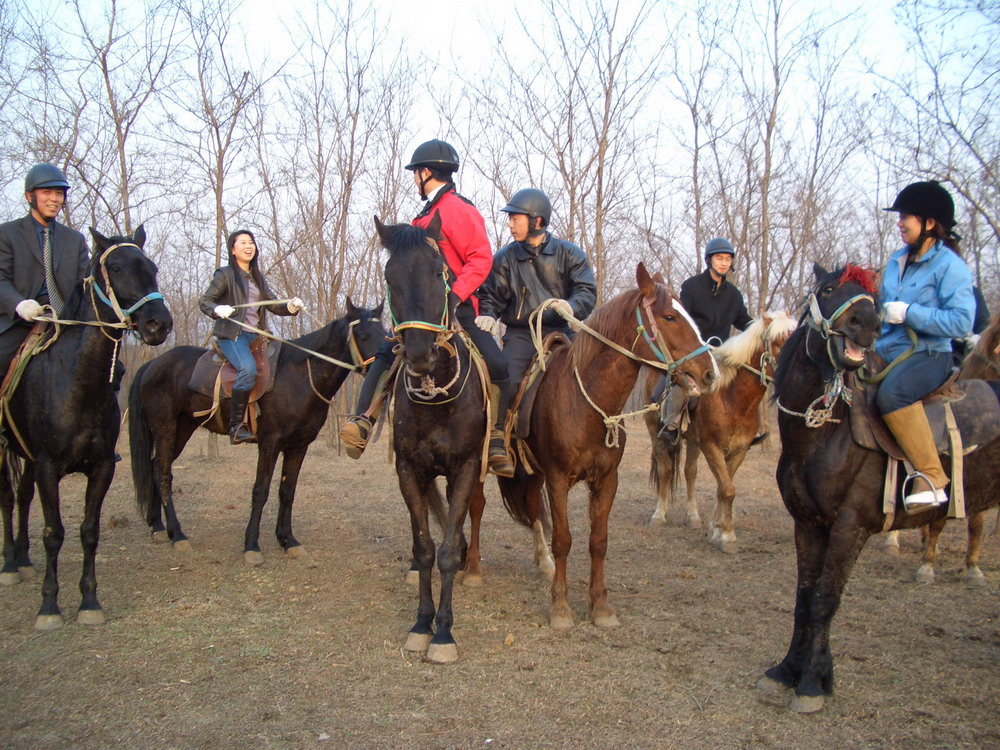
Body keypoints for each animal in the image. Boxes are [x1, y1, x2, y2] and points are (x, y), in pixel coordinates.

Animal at [0, 226, 171, 632]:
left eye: (152, 267)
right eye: (117, 267)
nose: (158, 324)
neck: (75, 383)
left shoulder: (101, 467)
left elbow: (88, 532)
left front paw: (89, 601)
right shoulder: (48, 467)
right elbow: (54, 533)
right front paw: (49, 606)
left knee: (23, 497)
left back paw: (23, 559)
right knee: (7, 498)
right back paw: (11, 563)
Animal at [127, 298, 384, 564]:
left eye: (384, 332)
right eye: (363, 335)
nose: (383, 365)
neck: (300, 377)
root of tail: (152, 364)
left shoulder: (298, 446)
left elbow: (287, 491)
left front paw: (288, 540)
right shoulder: (269, 444)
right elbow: (260, 491)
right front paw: (251, 545)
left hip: (183, 428)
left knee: (156, 467)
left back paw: (158, 527)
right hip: (165, 428)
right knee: (163, 472)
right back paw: (177, 534)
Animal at [494, 264, 716, 628]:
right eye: (669, 316)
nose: (710, 373)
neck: (588, 403)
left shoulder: (607, 480)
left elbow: (598, 541)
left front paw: (600, 606)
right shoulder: (558, 480)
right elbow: (563, 539)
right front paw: (561, 608)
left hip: (534, 473)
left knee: (532, 508)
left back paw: (543, 562)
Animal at [640, 312, 796, 552]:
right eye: (780, 342)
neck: (732, 398)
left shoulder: (738, 451)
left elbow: (725, 488)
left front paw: (718, 529)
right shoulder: (711, 447)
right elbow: (727, 489)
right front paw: (727, 536)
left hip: (693, 441)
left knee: (690, 472)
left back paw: (693, 517)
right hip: (654, 429)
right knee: (665, 469)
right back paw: (659, 515)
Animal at [756, 266, 1000, 716]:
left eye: (874, 299)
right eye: (828, 290)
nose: (867, 324)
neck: (826, 434)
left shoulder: (849, 528)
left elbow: (825, 600)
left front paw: (812, 682)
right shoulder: (808, 524)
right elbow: (804, 599)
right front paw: (789, 671)